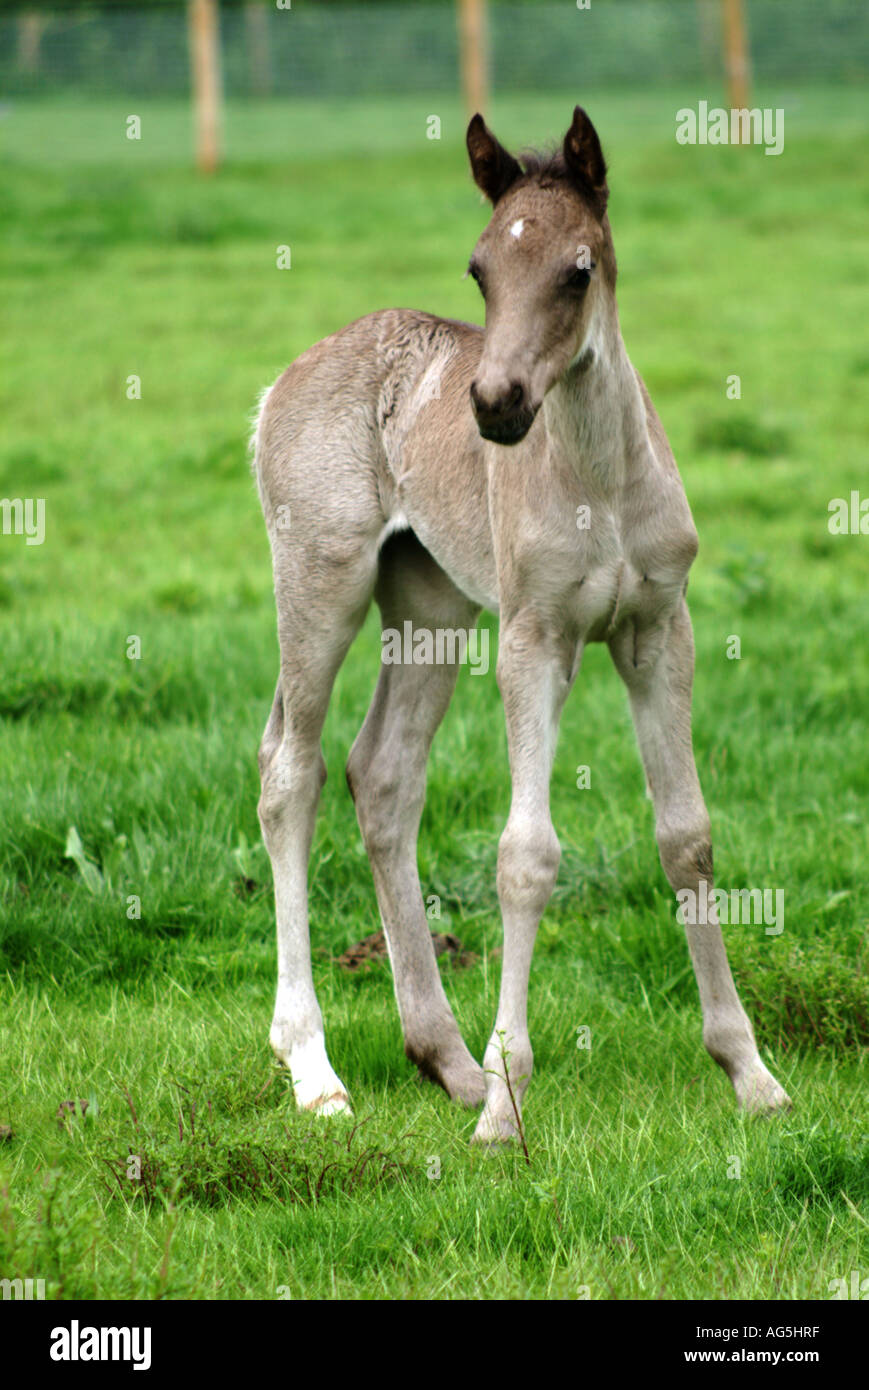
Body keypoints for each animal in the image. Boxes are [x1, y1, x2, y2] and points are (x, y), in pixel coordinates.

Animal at [248, 108, 784, 1139]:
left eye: (576, 271)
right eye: (480, 271)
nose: (495, 406)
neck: (599, 482)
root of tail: (281, 383)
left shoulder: (659, 630)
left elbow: (686, 836)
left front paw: (749, 1073)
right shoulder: (536, 639)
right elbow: (525, 856)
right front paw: (505, 1104)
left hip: (428, 606)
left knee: (381, 774)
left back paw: (445, 1059)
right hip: (322, 581)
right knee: (289, 771)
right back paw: (316, 1069)